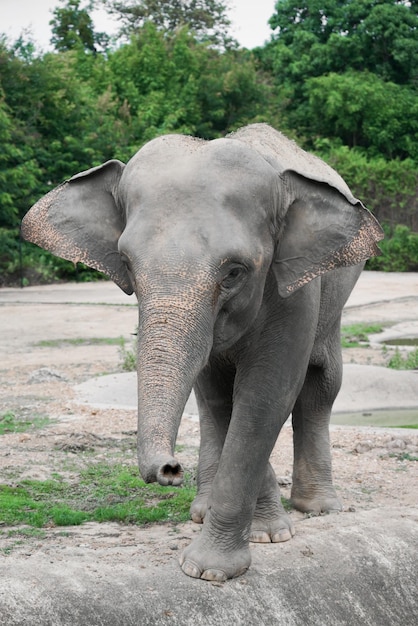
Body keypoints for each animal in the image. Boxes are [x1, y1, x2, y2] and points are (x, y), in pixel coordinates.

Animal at [21, 124, 384, 584]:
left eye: (234, 272)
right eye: (126, 263)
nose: (170, 470)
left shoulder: (296, 291)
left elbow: (266, 395)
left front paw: (212, 568)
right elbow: (224, 395)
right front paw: (260, 534)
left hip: (333, 298)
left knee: (322, 384)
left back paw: (318, 508)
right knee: (210, 398)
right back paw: (203, 510)